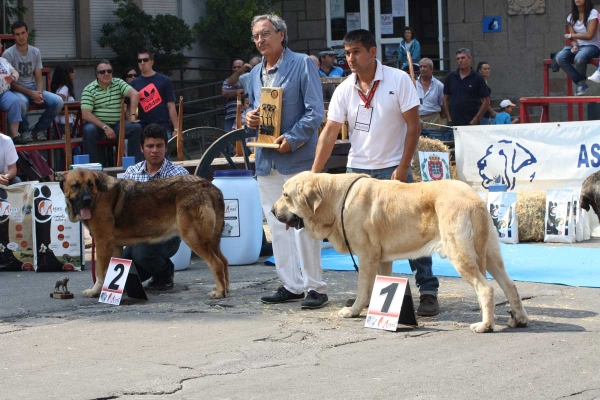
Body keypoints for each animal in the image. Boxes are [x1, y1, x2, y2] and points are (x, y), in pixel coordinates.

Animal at [61, 168, 229, 296]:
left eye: (90, 185)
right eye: (76, 185)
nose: (87, 200)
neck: (98, 194)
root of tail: (208, 186)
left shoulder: (103, 242)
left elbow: (101, 271)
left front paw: (96, 291)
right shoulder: (114, 246)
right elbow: (111, 268)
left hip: (194, 237)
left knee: (216, 263)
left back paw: (219, 292)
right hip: (212, 241)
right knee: (224, 261)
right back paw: (225, 288)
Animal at [272, 171, 528, 332]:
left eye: (285, 195)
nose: (273, 211)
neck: (335, 199)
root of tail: (475, 200)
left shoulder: (367, 256)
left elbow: (363, 288)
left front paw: (353, 311)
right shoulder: (382, 260)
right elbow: (377, 284)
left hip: (460, 254)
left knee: (486, 288)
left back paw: (485, 326)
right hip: (491, 255)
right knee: (510, 286)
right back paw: (519, 319)